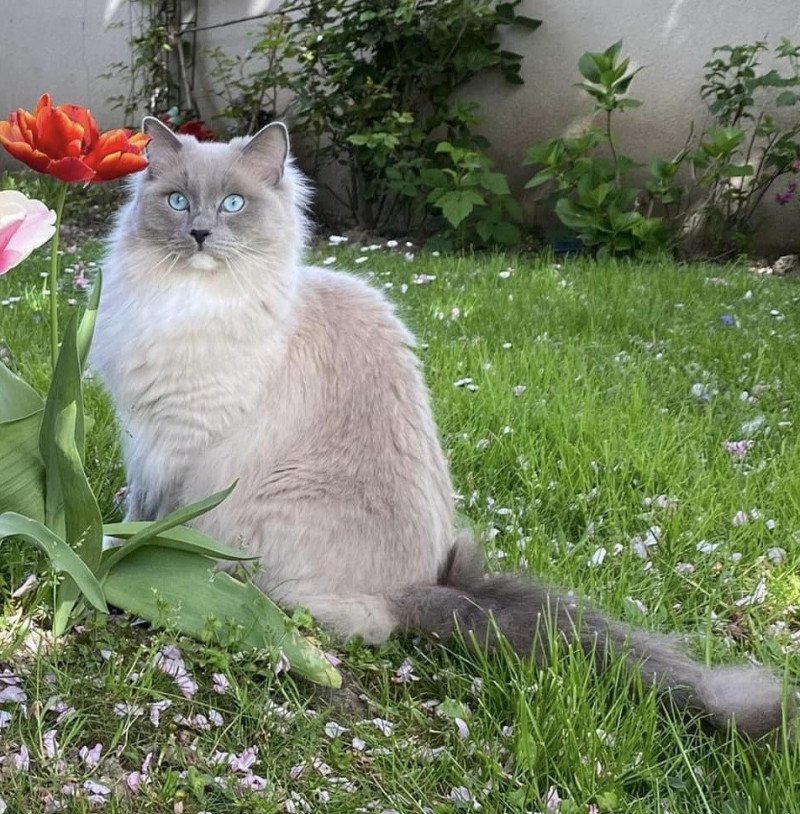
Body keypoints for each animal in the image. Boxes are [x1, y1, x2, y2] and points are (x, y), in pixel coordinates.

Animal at [90, 119, 792, 740]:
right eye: (178, 201)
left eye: (233, 204)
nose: (200, 233)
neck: (185, 304)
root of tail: (421, 589)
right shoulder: (145, 439)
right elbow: (135, 507)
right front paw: (112, 544)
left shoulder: (183, 445)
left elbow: (155, 521)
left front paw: (125, 561)